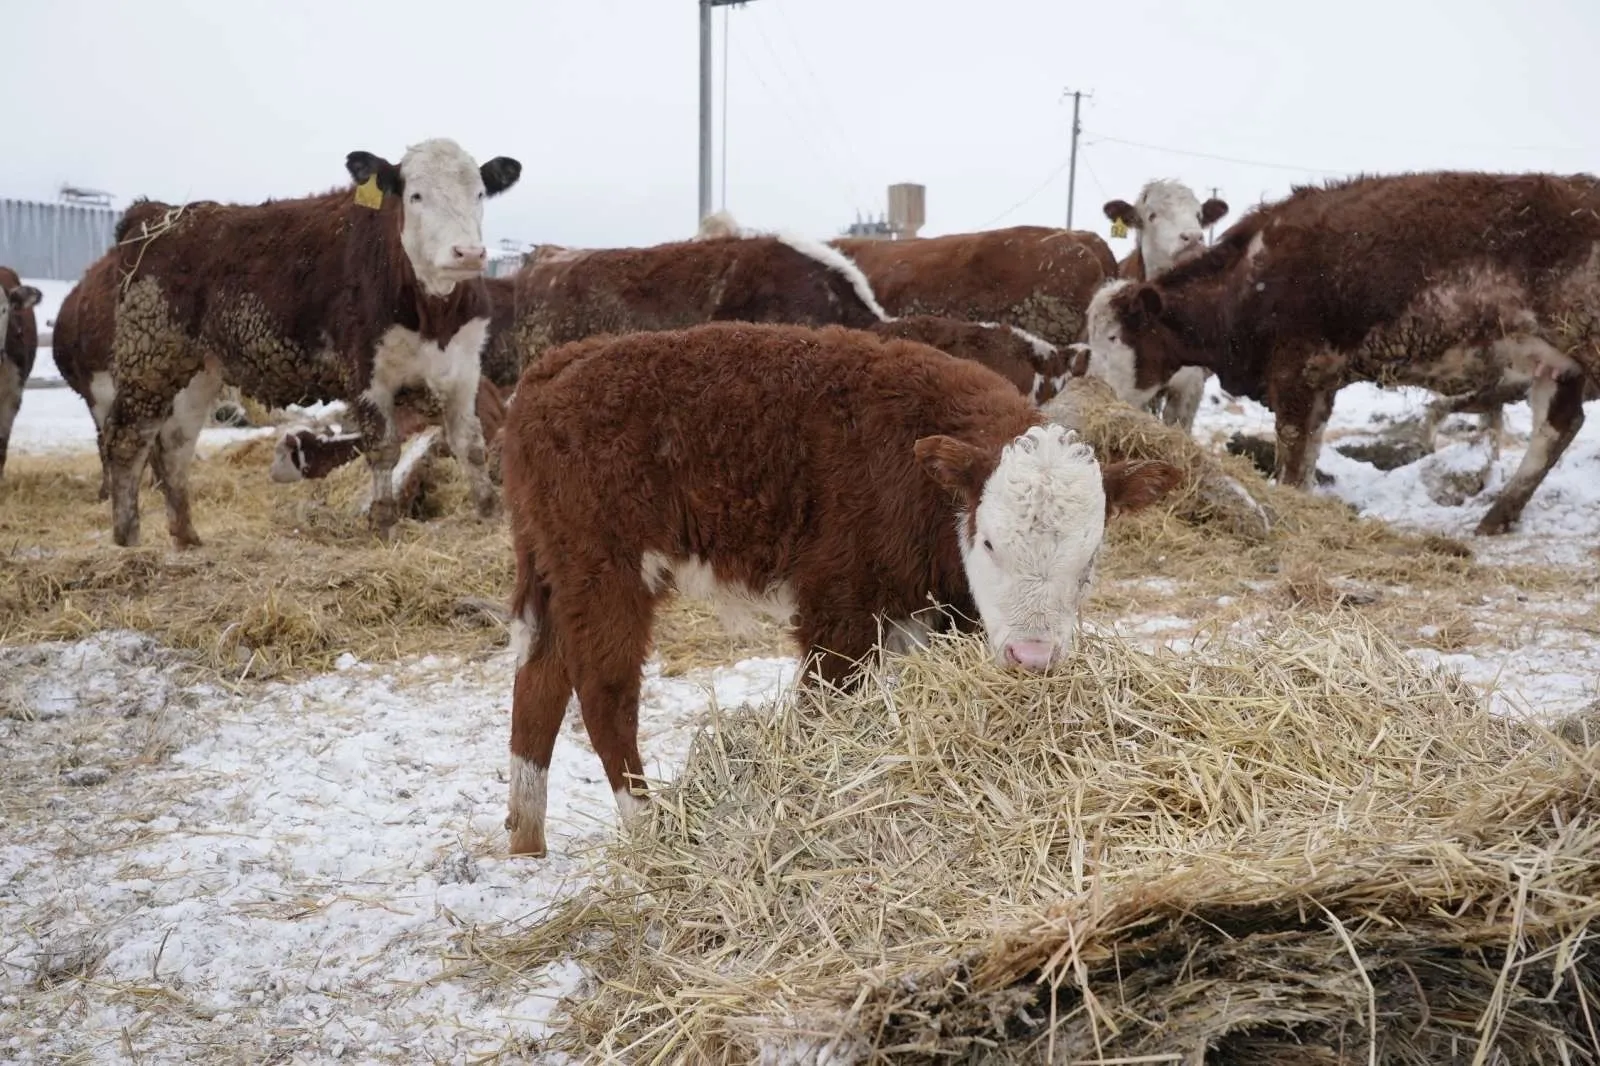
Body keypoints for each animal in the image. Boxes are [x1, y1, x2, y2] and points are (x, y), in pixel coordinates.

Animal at [96, 136, 521, 544]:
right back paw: (127, 536)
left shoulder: (464, 369)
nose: (468, 253)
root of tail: (157, 214)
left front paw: (489, 514)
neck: (434, 313)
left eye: (479, 193)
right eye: (415, 196)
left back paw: (186, 536)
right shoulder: (366, 373)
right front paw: (384, 524)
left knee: (175, 444)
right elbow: (384, 449)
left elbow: (471, 444)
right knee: (126, 440)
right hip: (148, 358)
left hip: (200, 369)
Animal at [499, 316, 1190, 857]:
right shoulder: (838, 605)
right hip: (604, 570)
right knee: (603, 692)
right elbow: (822, 707)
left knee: (540, 678)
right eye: (991, 543)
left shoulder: (933, 613)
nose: (1033, 657)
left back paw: (526, 839)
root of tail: (554, 368)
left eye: (1090, 557)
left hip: (557, 569)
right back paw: (649, 827)